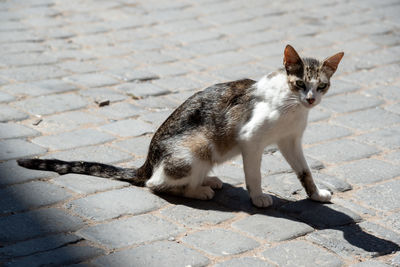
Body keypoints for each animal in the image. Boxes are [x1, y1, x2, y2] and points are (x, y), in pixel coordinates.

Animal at [18, 45, 344, 209]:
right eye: (299, 83)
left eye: (322, 86)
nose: (311, 99)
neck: (292, 108)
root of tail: (148, 161)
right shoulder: (251, 140)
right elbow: (254, 174)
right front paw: (257, 196)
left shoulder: (291, 141)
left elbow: (305, 172)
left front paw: (316, 195)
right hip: (198, 146)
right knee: (156, 184)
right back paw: (198, 191)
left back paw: (207, 180)